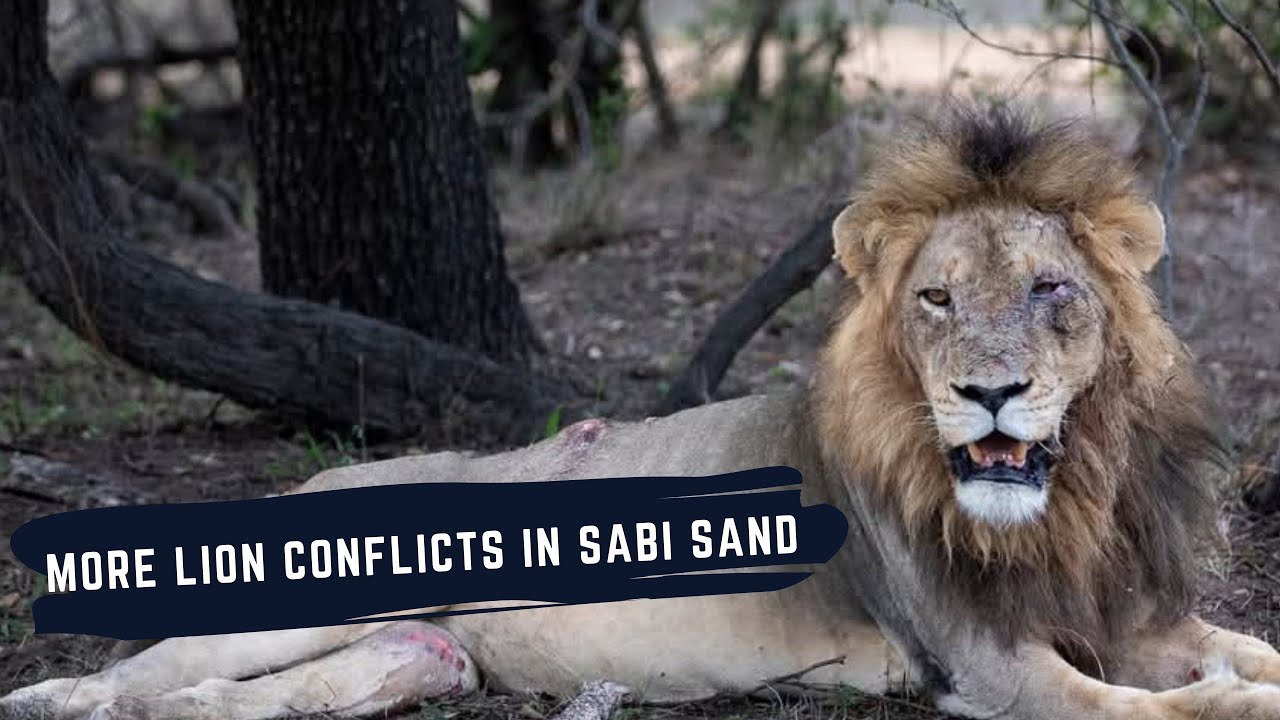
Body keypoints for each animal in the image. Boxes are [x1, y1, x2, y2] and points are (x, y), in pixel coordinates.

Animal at [5, 104, 1280, 720]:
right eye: (935, 298)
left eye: (1049, 290)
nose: (987, 393)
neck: (1072, 495)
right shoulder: (993, 669)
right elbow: (1191, 712)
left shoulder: (1130, 619)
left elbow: (1244, 652)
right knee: (143, 672)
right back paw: (55, 699)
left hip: (409, 653)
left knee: (238, 696)